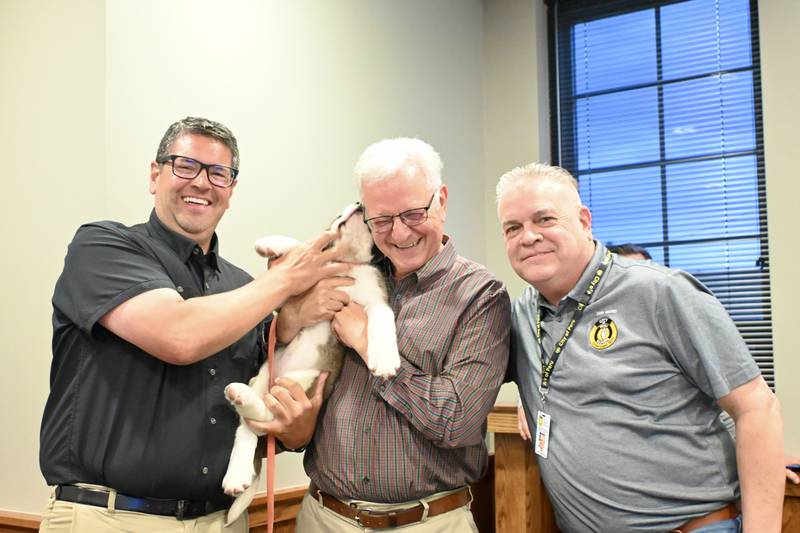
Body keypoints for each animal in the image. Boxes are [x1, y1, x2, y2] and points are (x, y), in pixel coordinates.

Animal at [220, 204, 400, 524]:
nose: (359, 204)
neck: (347, 262)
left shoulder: (377, 302)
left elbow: (383, 317)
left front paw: (385, 360)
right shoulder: (292, 298)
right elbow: (303, 248)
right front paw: (273, 244)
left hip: (305, 380)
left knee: (263, 419)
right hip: (265, 373)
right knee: (249, 427)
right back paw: (237, 467)